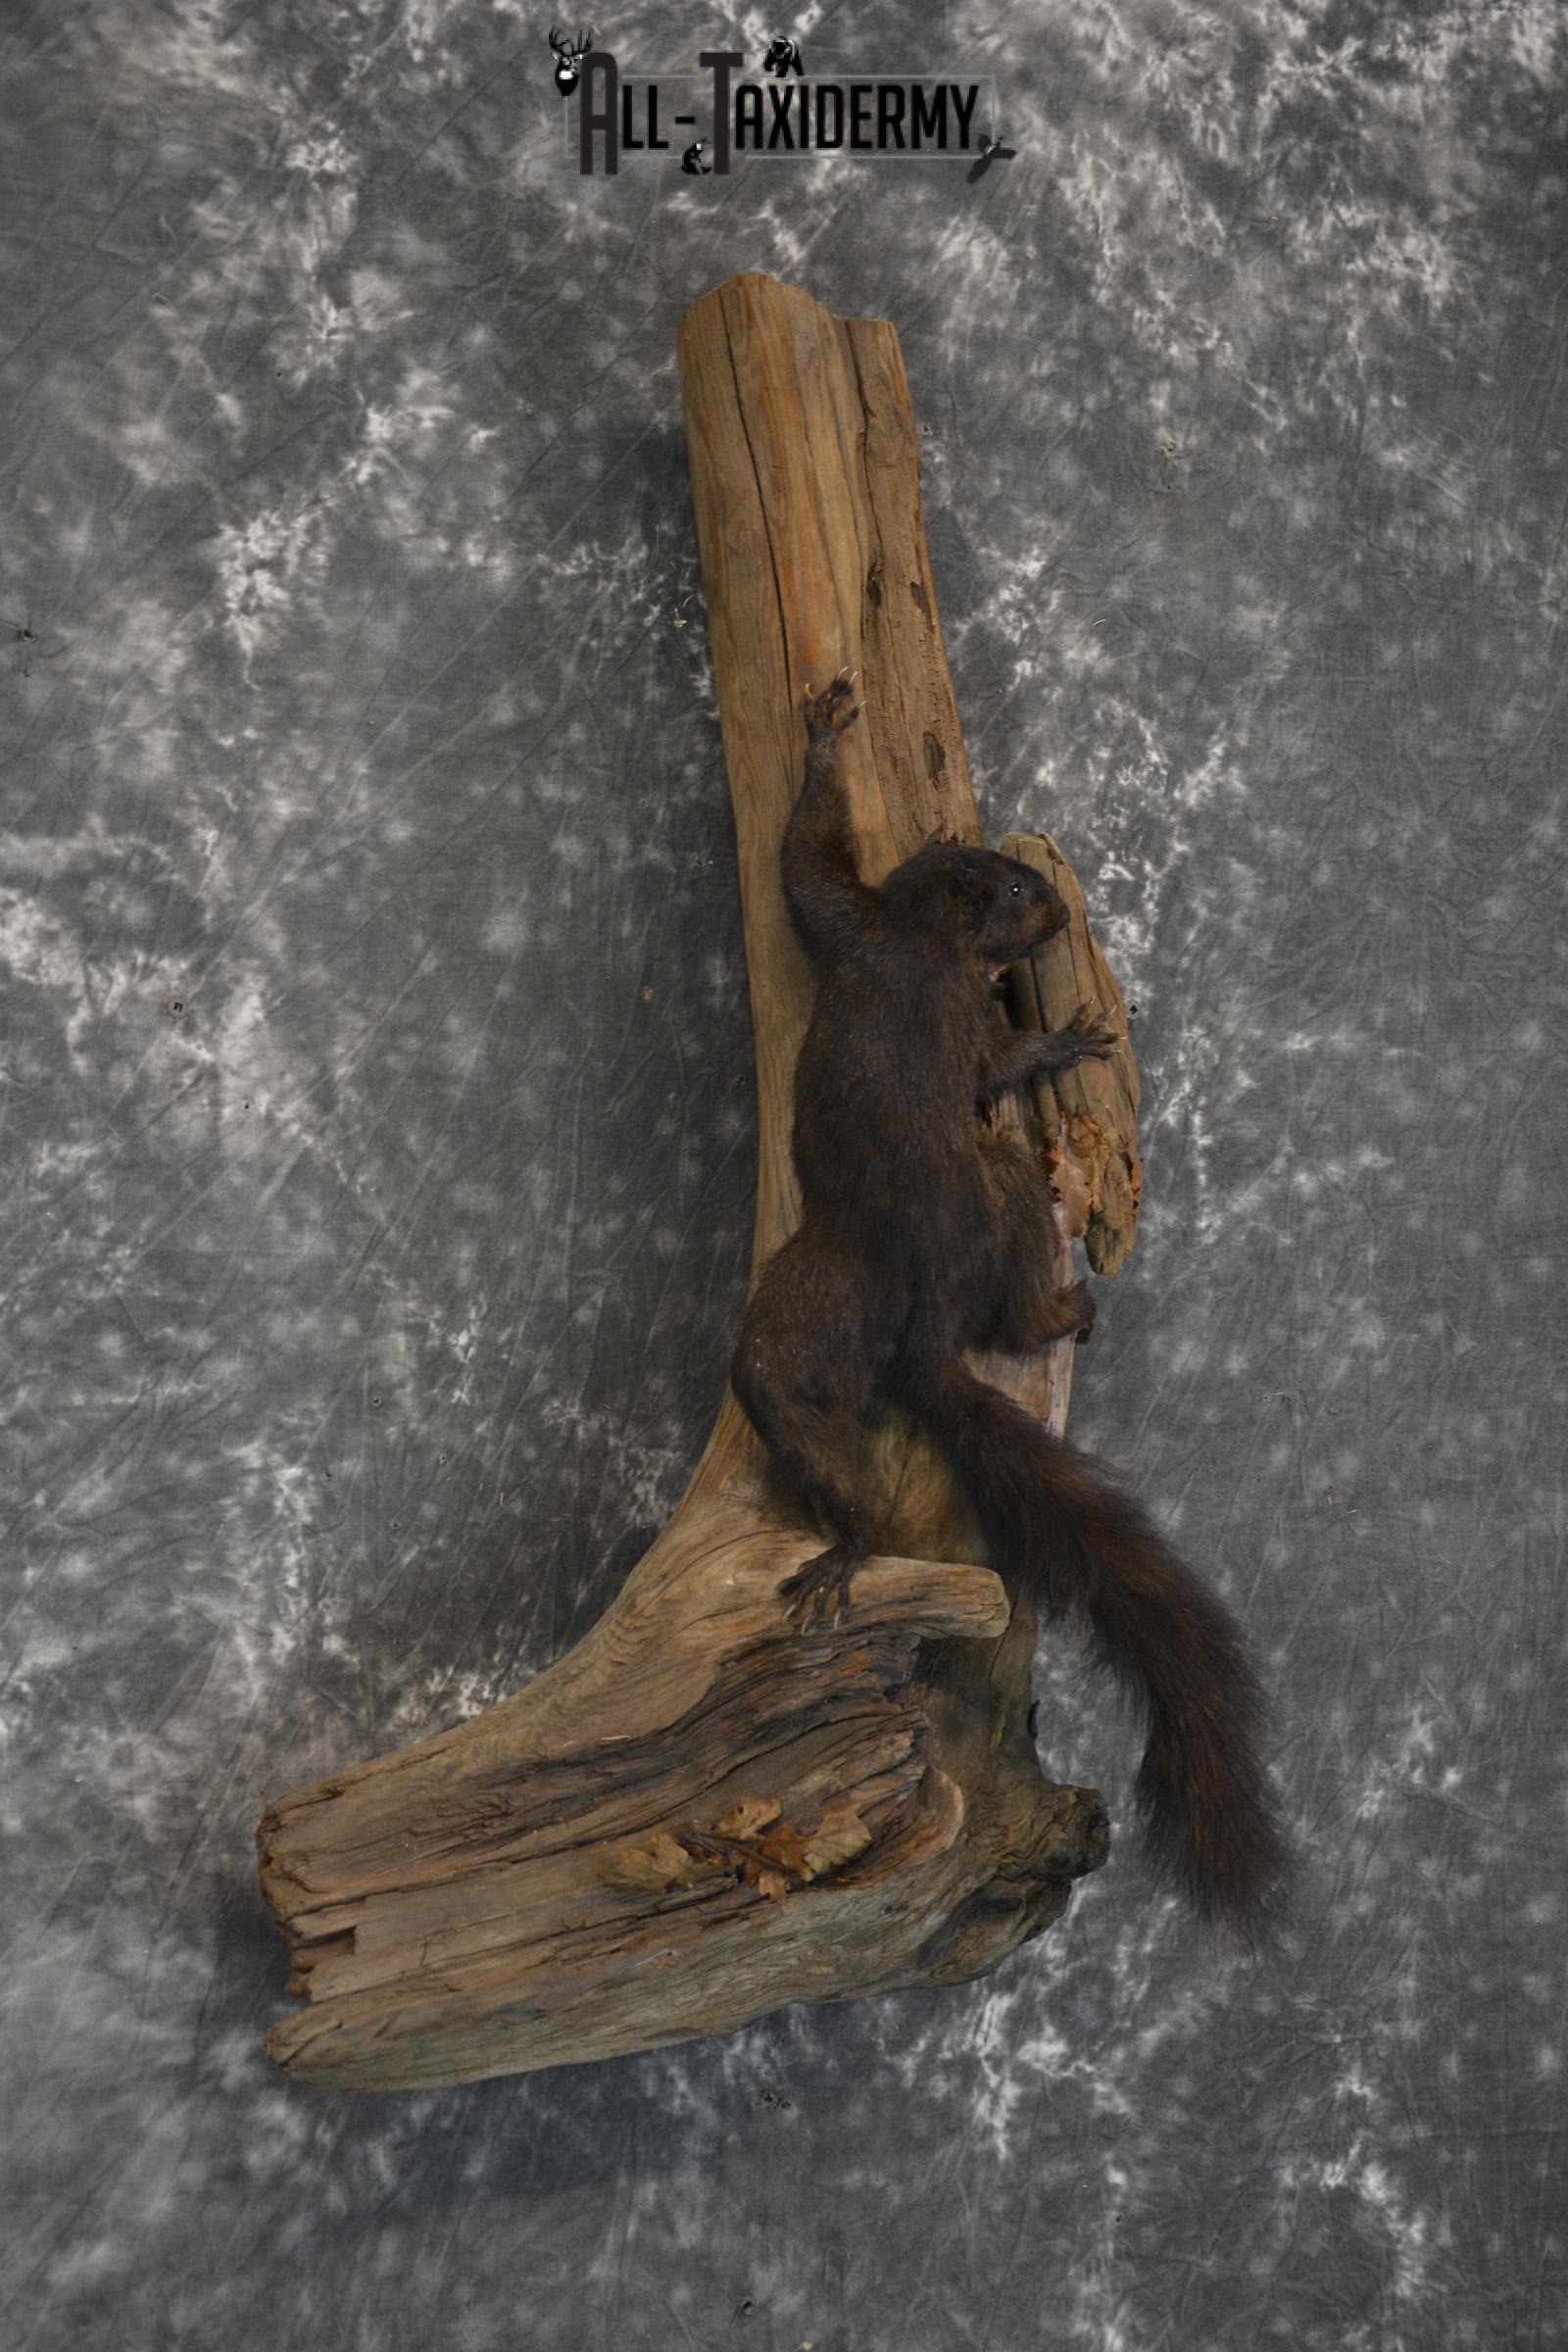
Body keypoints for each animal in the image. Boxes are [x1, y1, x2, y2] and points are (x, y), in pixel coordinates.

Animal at [731, 671, 1289, 1938]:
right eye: (1024, 892)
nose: (1051, 907)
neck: (916, 939)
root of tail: (921, 1335)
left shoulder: (853, 931)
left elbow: (806, 864)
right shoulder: (911, 977)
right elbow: (978, 1047)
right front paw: (1067, 1034)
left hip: (819, 1299)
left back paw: (847, 1545)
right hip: (991, 1196)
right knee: (1001, 1305)